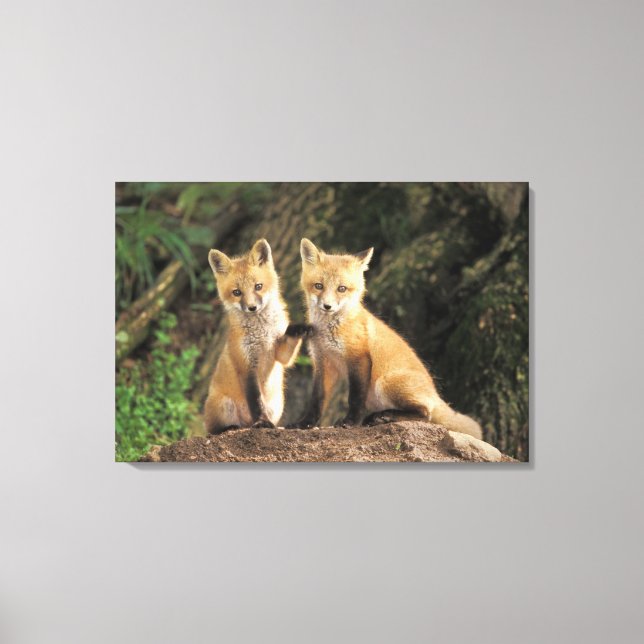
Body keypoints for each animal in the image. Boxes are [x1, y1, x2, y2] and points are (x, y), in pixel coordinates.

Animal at [203, 239, 306, 434]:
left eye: (258, 286)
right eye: (237, 292)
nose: (252, 308)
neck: (261, 333)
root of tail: (245, 424)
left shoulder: (280, 353)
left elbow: (288, 348)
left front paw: (299, 328)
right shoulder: (246, 365)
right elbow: (256, 401)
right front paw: (262, 422)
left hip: (277, 404)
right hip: (224, 406)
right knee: (214, 430)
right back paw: (232, 428)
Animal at [290, 238, 483, 439]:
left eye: (341, 289)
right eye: (318, 286)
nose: (327, 306)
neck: (329, 330)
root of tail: (435, 394)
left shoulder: (359, 358)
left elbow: (355, 398)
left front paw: (350, 422)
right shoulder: (323, 362)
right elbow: (316, 399)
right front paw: (305, 423)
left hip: (384, 382)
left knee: (426, 414)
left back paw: (385, 416)